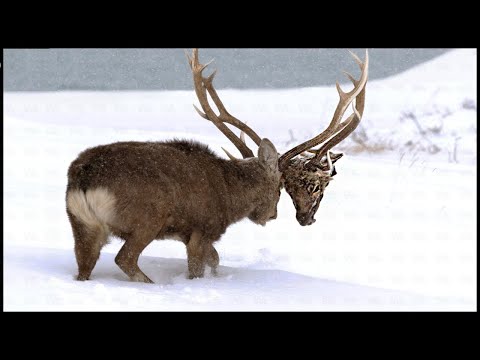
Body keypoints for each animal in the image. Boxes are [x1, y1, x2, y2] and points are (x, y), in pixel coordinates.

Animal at [65, 47, 370, 282]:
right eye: (281, 187)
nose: (272, 215)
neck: (231, 197)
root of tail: (85, 181)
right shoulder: (203, 228)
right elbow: (202, 266)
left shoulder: (193, 234)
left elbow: (215, 261)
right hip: (148, 217)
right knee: (124, 258)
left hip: (81, 223)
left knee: (84, 265)